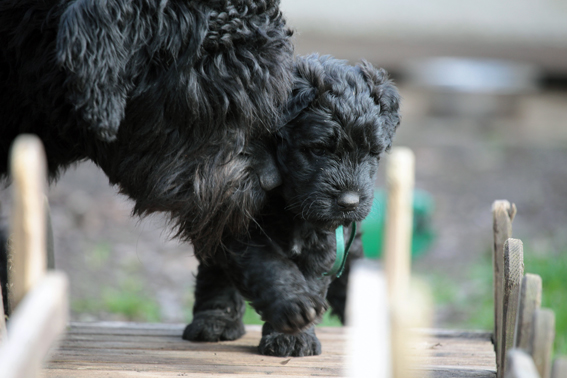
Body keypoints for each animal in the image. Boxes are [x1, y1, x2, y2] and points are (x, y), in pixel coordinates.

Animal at [184, 54, 402, 356]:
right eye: (319, 149)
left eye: (372, 152)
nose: (349, 202)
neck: (291, 207)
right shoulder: (239, 225)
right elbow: (269, 267)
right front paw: (295, 308)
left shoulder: (325, 241)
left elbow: (313, 279)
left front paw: (295, 337)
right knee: (214, 273)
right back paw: (214, 320)